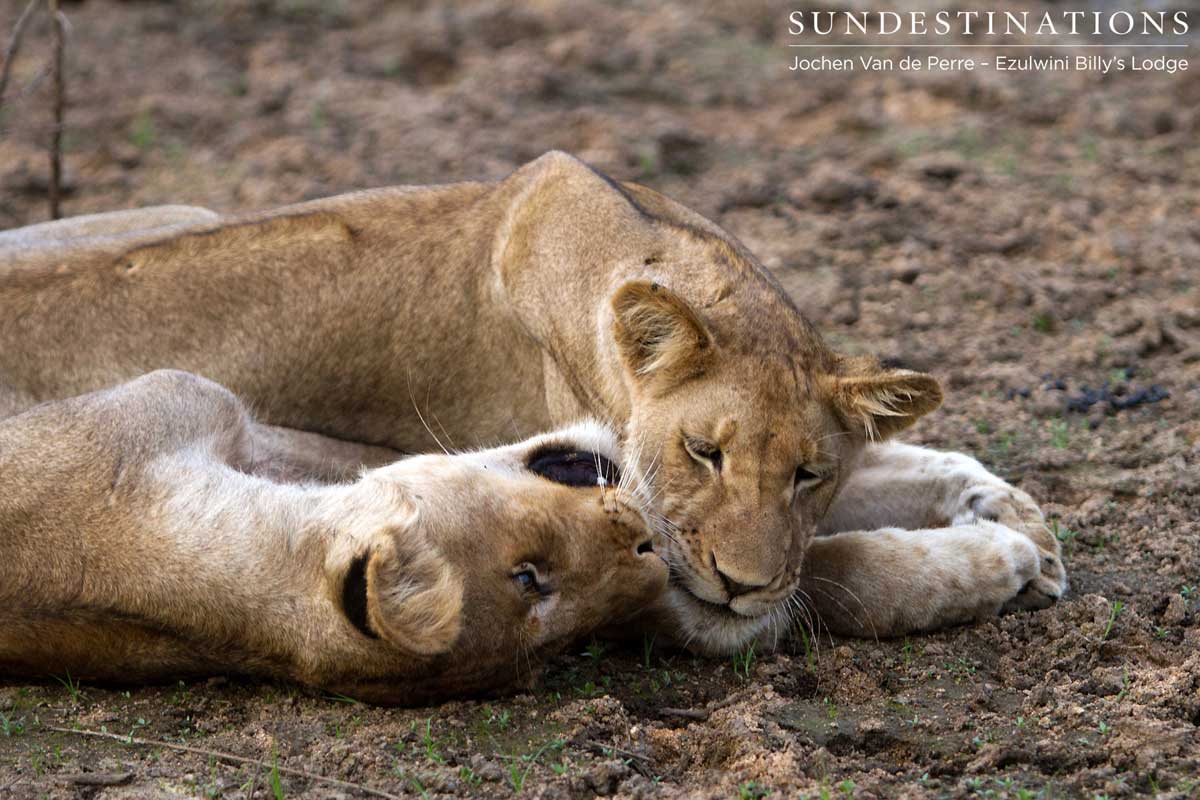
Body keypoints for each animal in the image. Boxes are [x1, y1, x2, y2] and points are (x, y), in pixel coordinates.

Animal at [0, 151, 1066, 654]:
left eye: (808, 472)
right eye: (704, 452)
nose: (741, 584)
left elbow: (896, 474)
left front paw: (1017, 519)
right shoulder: (671, 582)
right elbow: (835, 574)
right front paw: (998, 559)